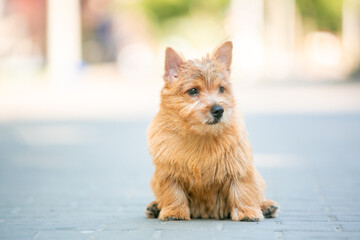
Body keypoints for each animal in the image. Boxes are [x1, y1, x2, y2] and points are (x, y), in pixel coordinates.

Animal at [145, 41, 278, 221]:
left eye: (221, 89)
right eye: (193, 91)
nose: (218, 110)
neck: (201, 135)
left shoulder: (239, 167)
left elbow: (243, 190)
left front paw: (247, 212)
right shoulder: (168, 173)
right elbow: (173, 193)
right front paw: (174, 211)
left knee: (258, 194)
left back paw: (266, 206)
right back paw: (154, 207)